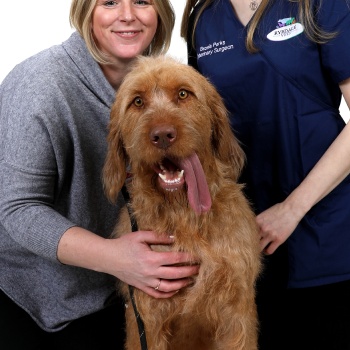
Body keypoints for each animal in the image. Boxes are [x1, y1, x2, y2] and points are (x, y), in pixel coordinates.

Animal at [104, 56, 262, 350]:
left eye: (183, 94)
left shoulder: (236, 315)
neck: (184, 216)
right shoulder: (147, 318)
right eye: (138, 101)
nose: (162, 135)